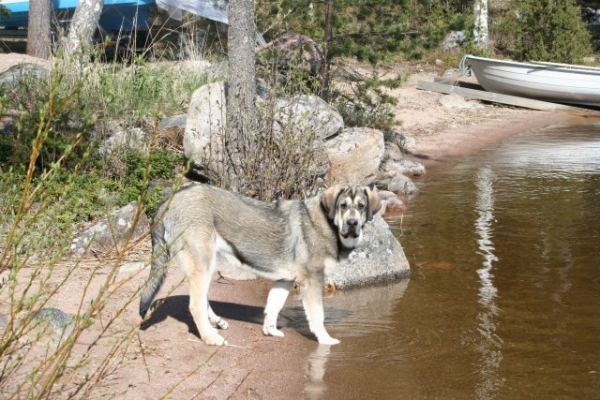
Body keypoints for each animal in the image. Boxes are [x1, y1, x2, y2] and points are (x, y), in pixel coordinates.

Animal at [139, 183, 380, 346]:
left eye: (361, 206)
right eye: (343, 206)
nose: (352, 224)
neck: (329, 224)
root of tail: (171, 198)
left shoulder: (284, 281)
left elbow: (273, 307)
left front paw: (270, 330)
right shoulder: (312, 282)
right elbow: (317, 317)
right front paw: (325, 339)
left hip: (206, 265)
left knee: (203, 298)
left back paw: (217, 322)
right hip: (202, 263)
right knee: (195, 305)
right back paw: (210, 337)